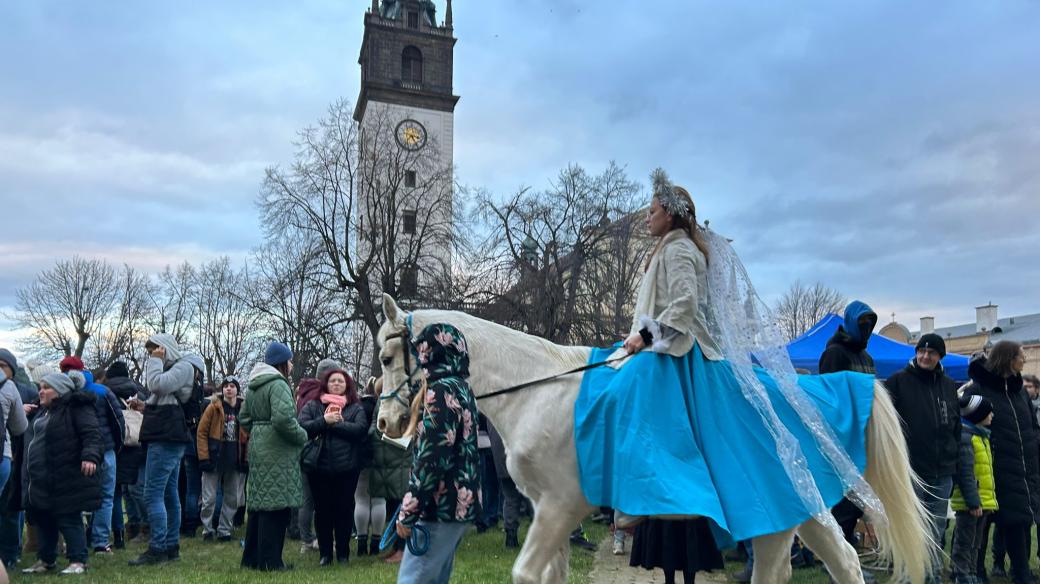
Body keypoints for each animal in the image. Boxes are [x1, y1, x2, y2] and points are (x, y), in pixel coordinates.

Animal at [376, 295, 935, 581]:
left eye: (384, 356)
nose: (384, 424)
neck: (538, 390)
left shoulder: (560, 507)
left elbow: (526, 574)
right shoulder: (547, 512)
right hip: (794, 513)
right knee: (822, 562)